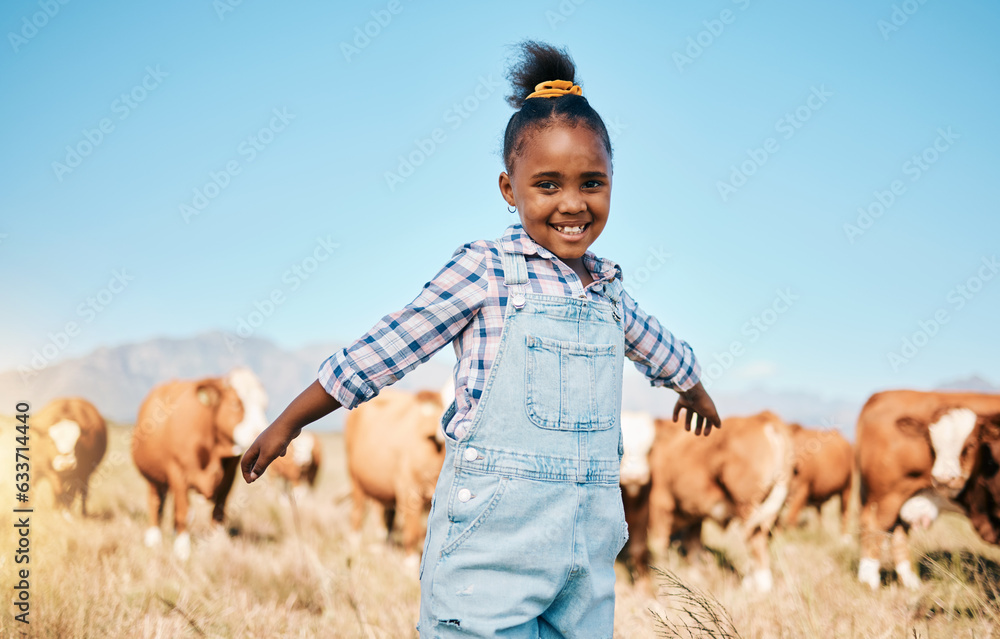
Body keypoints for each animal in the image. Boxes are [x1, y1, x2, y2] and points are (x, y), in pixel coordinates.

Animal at [132, 370, 270, 560]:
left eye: (264, 406)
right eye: (235, 404)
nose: (260, 433)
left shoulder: (229, 477)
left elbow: (217, 513)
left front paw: (216, 545)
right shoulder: (178, 471)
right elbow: (184, 512)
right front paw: (182, 550)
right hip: (153, 477)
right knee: (156, 503)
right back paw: (153, 538)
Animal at [346, 388, 448, 568]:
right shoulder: (409, 491)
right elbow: (413, 530)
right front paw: (410, 563)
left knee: (388, 519)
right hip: (355, 478)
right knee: (358, 513)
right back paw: (355, 546)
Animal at [648, 412, 796, 592]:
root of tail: (765, 417)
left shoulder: (659, 503)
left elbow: (659, 542)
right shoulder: (694, 513)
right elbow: (693, 544)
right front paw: (694, 573)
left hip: (748, 506)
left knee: (756, 542)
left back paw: (757, 585)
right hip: (769, 510)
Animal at [852, 388, 1000, 588]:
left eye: (971, 444)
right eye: (931, 445)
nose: (943, 478)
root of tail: (881, 394)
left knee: (897, 530)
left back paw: (910, 582)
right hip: (886, 495)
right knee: (873, 525)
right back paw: (869, 580)